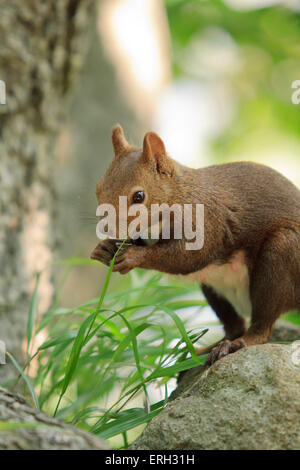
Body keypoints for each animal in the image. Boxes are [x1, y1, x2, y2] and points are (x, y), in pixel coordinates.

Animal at [91, 125, 300, 364]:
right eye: (98, 188)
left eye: (139, 196)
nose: (107, 230)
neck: (179, 194)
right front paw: (104, 249)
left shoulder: (206, 223)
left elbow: (185, 258)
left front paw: (134, 256)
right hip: (214, 288)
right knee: (235, 325)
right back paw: (206, 349)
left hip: (281, 255)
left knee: (261, 326)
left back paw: (238, 344)